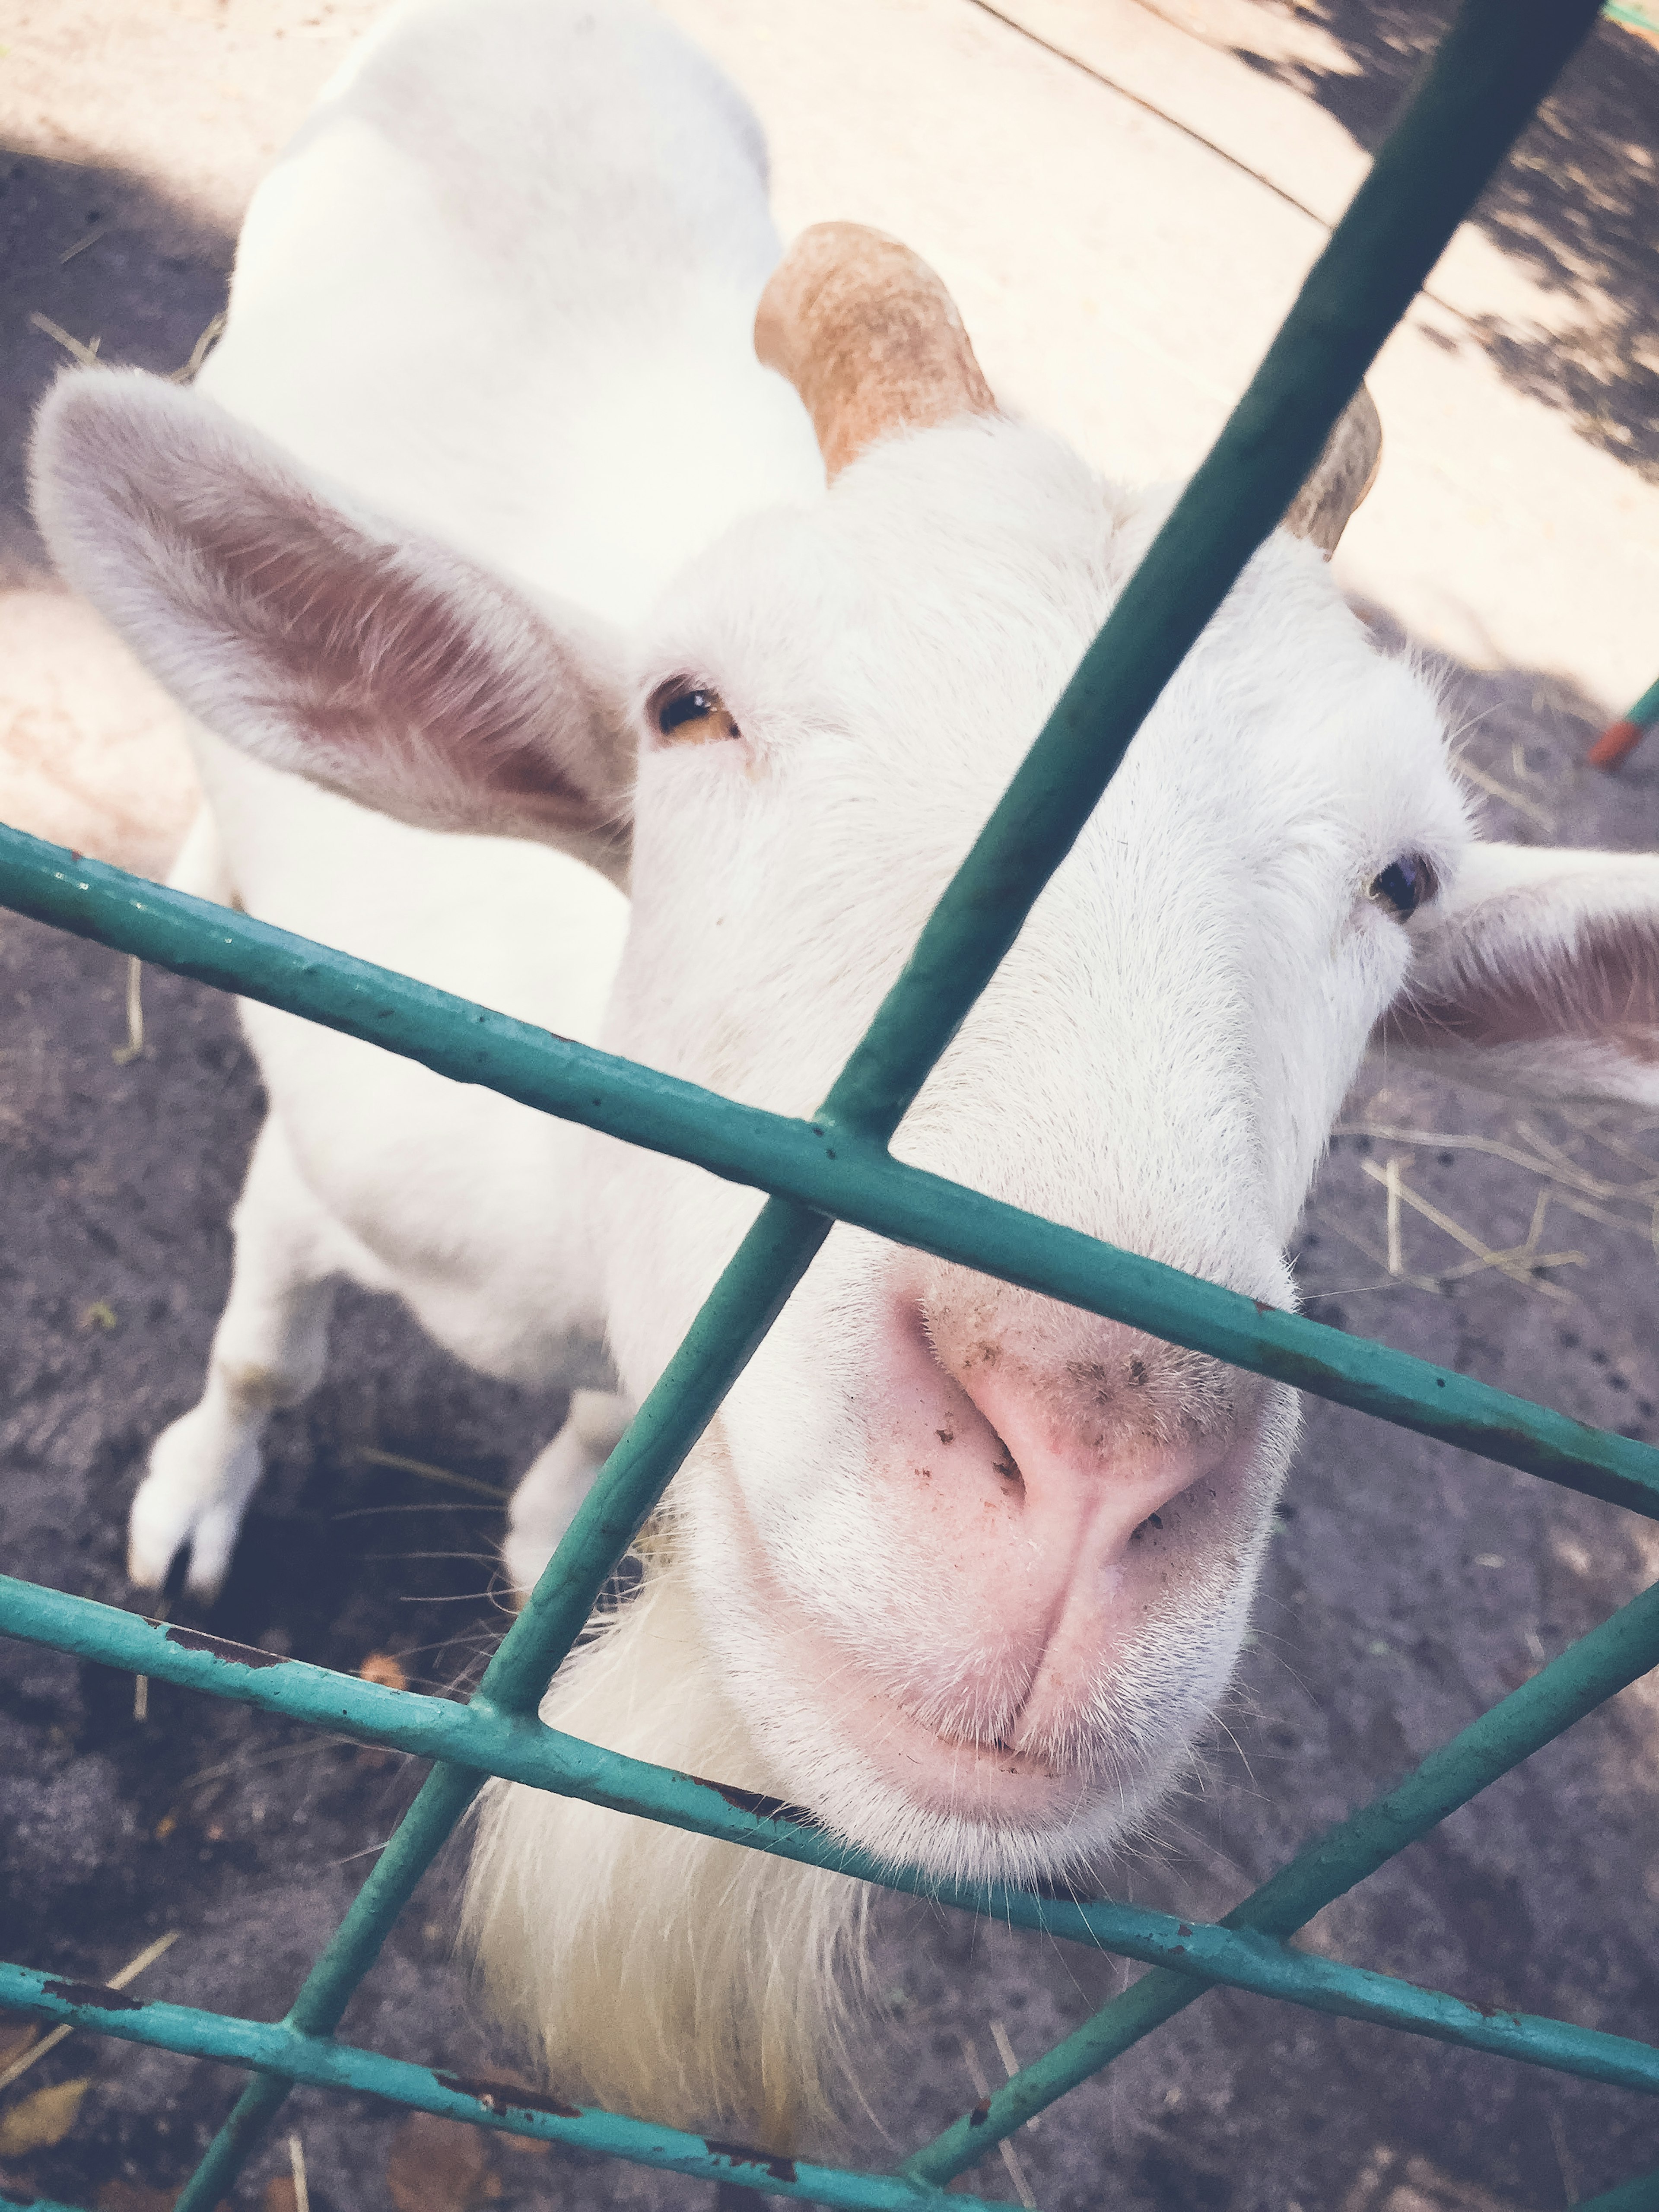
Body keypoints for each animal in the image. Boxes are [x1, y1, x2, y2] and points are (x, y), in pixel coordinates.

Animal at [29, 0, 1659, 2150]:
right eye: (686, 705)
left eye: (1405, 879)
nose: (1091, 1456)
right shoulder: (321, 1165)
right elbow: (264, 1351)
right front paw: (195, 1503)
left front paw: (553, 1520)